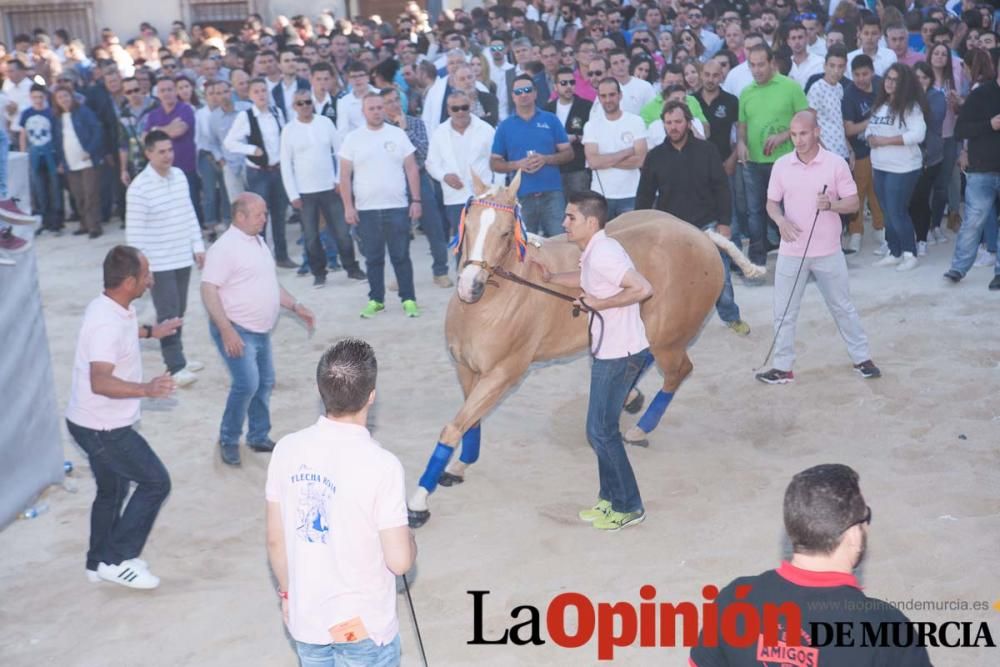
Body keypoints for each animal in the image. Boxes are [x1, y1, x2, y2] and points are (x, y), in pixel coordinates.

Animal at [406, 175, 764, 528]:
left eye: (506, 232)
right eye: (468, 225)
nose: (470, 285)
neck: (498, 298)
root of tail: (701, 236)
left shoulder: (503, 373)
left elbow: (454, 428)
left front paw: (418, 503)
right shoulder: (466, 369)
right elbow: (470, 422)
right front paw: (459, 467)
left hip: (669, 340)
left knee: (678, 372)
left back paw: (639, 428)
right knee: (641, 358)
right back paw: (629, 397)